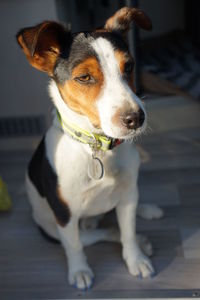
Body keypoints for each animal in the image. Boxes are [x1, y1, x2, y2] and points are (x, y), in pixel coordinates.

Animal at [16, 7, 162, 290]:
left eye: (129, 66)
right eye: (84, 77)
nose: (136, 118)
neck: (98, 148)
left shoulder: (127, 196)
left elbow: (128, 231)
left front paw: (135, 258)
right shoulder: (64, 214)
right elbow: (74, 246)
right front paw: (80, 270)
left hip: (128, 193)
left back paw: (146, 213)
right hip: (54, 228)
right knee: (95, 234)